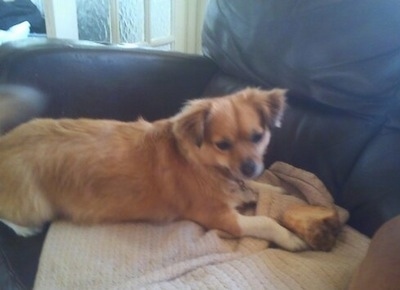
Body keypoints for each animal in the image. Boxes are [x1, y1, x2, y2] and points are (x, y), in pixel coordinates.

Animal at [0, 88, 310, 251]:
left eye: (258, 136)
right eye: (222, 144)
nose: (250, 167)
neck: (207, 166)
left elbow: (259, 187)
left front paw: (274, 188)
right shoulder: (221, 218)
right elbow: (265, 221)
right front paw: (291, 237)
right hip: (35, 205)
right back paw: (24, 229)